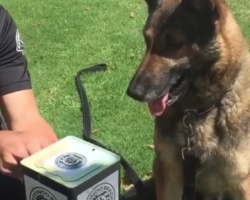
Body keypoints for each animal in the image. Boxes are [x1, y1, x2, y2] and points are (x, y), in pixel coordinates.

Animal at [127, 0, 250, 199]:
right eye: (147, 40)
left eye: (174, 43)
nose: (133, 92)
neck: (199, 111)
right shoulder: (169, 170)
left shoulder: (241, 182)